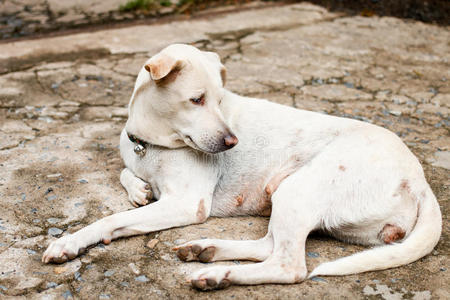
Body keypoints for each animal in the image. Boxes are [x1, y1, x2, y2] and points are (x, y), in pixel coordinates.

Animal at [43, 43, 442, 290]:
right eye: (197, 100)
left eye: (220, 100)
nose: (232, 141)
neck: (152, 141)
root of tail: (419, 179)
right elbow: (125, 173)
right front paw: (138, 188)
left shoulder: (186, 203)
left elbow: (108, 220)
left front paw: (69, 242)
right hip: (288, 196)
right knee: (269, 245)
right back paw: (207, 251)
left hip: (298, 189)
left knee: (288, 266)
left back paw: (221, 274)